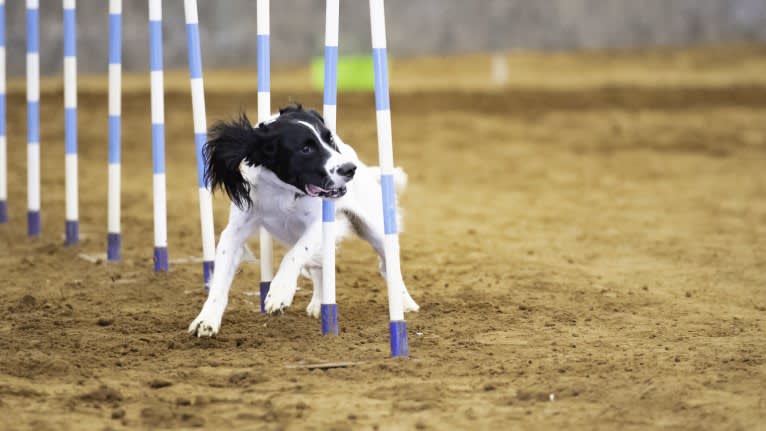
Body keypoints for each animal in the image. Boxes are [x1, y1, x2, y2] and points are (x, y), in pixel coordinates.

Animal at [190, 104, 420, 338]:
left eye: (330, 139)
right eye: (305, 149)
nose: (349, 168)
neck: (283, 191)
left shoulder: (323, 224)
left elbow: (294, 255)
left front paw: (279, 292)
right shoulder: (234, 233)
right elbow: (219, 279)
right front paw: (206, 320)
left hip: (376, 230)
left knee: (387, 266)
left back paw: (405, 305)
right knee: (319, 267)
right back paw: (320, 304)